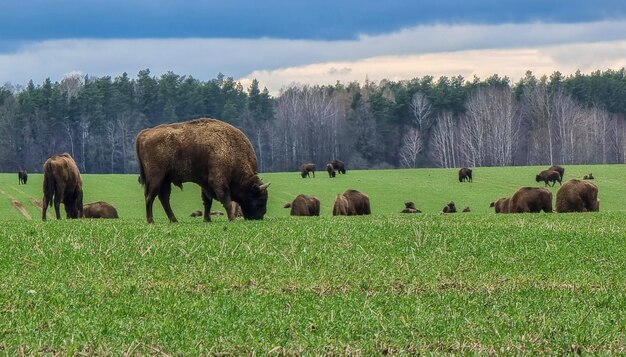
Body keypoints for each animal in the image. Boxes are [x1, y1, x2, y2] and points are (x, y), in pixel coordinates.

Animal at [136, 117, 268, 222]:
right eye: (260, 199)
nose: (259, 217)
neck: (230, 148)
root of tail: (144, 133)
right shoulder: (218, 181)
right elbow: (226, 201)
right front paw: (232, 219)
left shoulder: (206, 183)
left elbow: (207, 201)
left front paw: (207, 219)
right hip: (156, 177)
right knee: (150, 196)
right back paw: (151, 221)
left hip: (166, 179)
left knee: (164, 198)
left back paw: (174, 220)